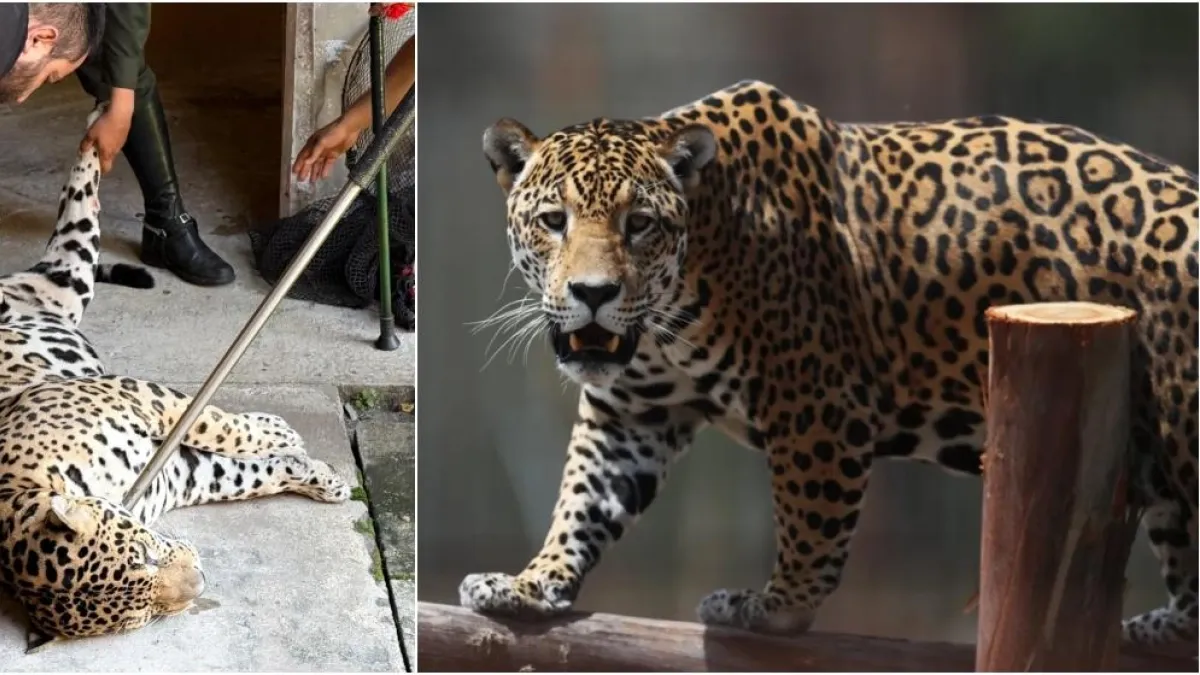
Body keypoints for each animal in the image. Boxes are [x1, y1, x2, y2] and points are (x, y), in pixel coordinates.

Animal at [0, 105, 352, 647]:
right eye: (139, 616)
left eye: (144, 556)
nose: (200, 583)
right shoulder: (181, 474)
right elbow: (249, 475)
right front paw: (319, 475)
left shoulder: (130, 393)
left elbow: (217, 423)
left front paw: (281, 433)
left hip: (65, 278)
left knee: (75, 209)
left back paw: (100, 124)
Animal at [460, 80, 1199, 648]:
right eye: (553, 221)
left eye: (639, 224)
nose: (593, 293)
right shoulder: (632, 415)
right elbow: (582, 500)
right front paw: (529, 581)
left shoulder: (817, 402)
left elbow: (809, 522)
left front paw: (774, 607)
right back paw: (1153, 629)